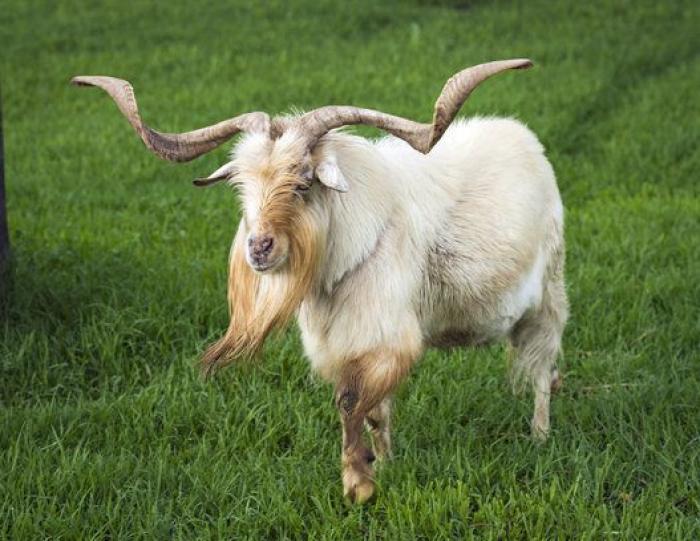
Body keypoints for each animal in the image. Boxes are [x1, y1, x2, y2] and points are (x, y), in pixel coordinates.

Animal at [72, 59, 568, 503]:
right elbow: (373, 411)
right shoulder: (345, 343)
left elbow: (351, 404)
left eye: (303, 182)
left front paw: (358, 485)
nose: (259, 248)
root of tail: (524, 138)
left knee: (541, 369)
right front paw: (384, 465)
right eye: (241, 187)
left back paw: (541, 437)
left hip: (550, 294)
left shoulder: (383, 335)